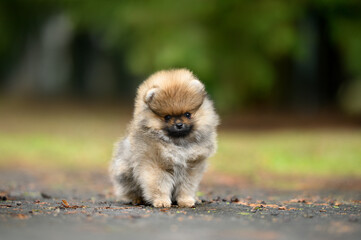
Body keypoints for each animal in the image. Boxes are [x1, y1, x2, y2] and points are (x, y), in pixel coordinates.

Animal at [108, 68, 218, 207]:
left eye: (188, 114)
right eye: (167, 117)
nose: (179, 124)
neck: (178, 143)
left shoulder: (191, 166)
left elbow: (187, 186)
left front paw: (186, 200)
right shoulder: (156, 165)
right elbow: (159, 184)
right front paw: (161, 201)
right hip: (125, 171)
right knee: (131, 190)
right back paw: (137, 199)